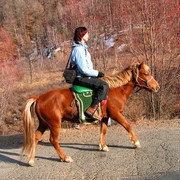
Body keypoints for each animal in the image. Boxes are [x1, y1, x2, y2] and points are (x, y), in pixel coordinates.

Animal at [20, 60, 159, 166]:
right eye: (146, 73)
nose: (156, 87)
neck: (115, 90)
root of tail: (39, 97)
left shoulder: (105, 117)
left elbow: (103, 131)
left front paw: (103, 146)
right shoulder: (116, 114)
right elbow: (128, 126)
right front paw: (136, 142)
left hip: (44, 123)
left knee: (36, 137)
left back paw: (31, 160)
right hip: (54, 123)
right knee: (53, 140)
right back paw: (65, 157)